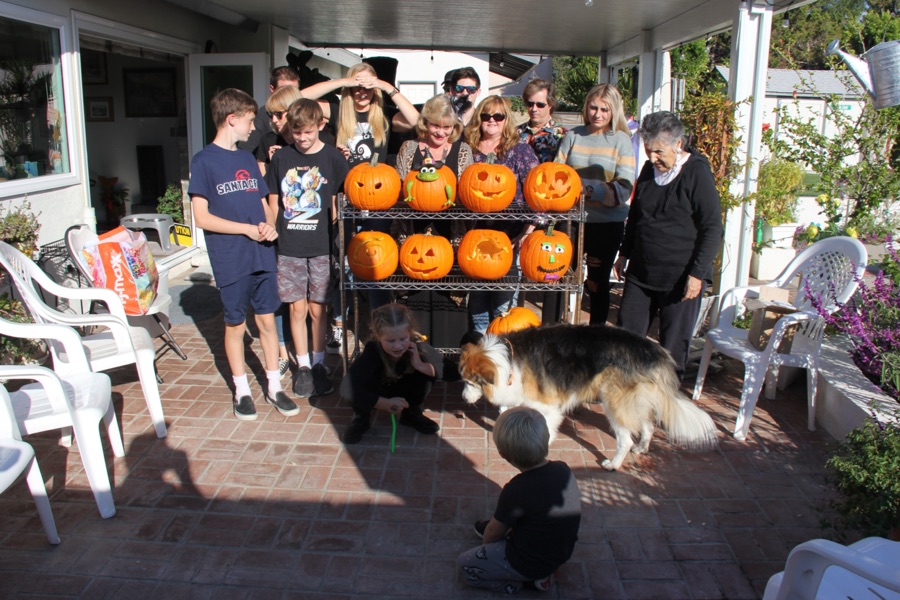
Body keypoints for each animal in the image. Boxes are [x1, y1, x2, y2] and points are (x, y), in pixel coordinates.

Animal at [460, 324, 720, 468]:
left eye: (469, 382)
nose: (463, 398)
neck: (509, 360)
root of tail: (654, 350)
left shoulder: (548, 406)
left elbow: (545, 428)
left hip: (615, 402)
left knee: (625, 439)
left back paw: (613, 464)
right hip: (635, 400)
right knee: (647, 426)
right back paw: (641, 448)